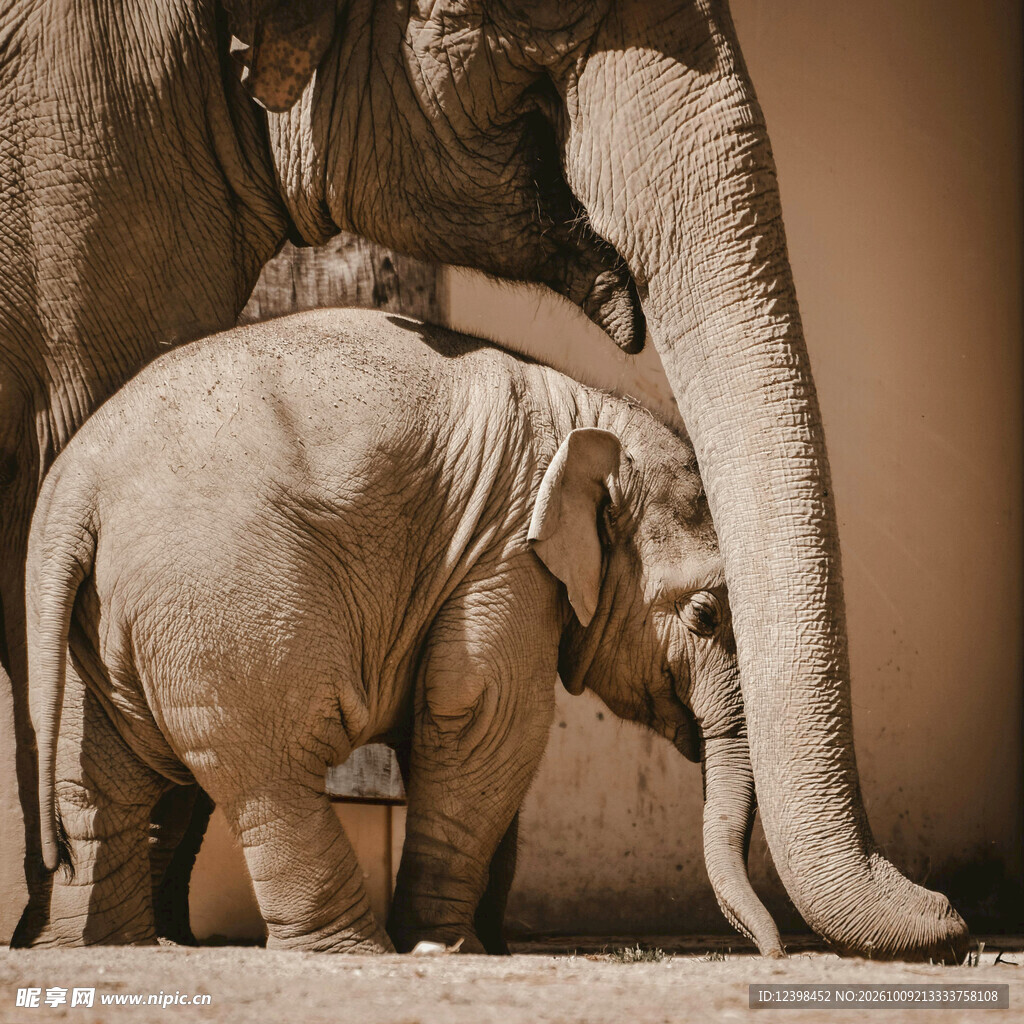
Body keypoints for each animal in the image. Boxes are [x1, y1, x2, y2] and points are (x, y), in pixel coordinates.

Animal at [27, 308, 782, 956]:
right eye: (706, 614)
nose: (772, 949)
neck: (589, 413)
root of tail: (75, 485)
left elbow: (476, 736)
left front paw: (481, 944)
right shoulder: (505, 553)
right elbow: (487, 716)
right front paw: (450, 946)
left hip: (101, 621)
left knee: (98, 782)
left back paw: (99, 946)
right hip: (217, 599)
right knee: (273, 776)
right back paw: (351, 949)